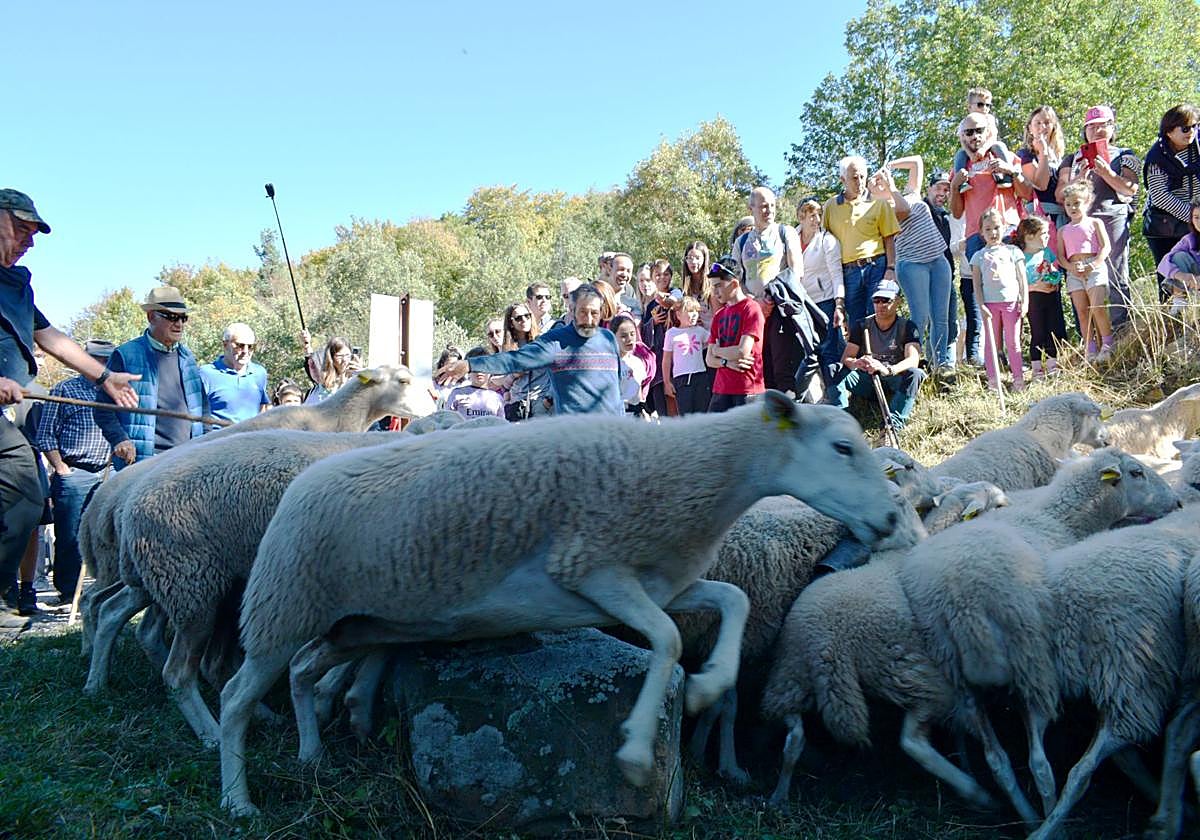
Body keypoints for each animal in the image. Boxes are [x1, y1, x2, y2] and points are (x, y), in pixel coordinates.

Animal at [217, 393, 918, 816]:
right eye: (843, 449)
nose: (889, 519)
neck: (692, 476)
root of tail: (300, 485)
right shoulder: (594, 572)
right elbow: (667, 641)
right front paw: (635, 752)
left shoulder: (660, 583)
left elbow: (732, 600)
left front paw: (708, 685)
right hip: (284, 605)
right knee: (235, 698)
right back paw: (238, 800)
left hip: (355, 624)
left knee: (303, 672)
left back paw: (311, 755)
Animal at [898, 448, 1181, 819]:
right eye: (1137, 472)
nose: (1177, 502)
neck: (1060, 517)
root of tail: (962, 602)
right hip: (1033, 664)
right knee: (1040, 764)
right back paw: (1046, 814)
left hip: (959, 678)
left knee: (997, 760)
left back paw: (1013, 811)